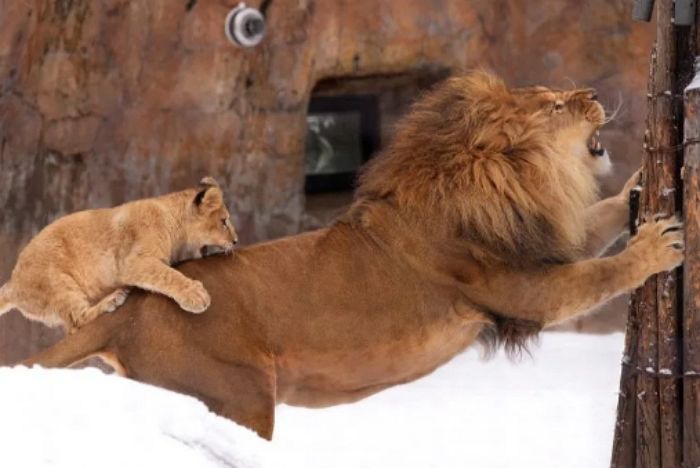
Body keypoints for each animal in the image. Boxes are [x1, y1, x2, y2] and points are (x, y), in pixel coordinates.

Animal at [23, 70, 684, 438]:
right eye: (554, 105)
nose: (594, 92)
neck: (514, 183)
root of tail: (130, 308)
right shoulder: (516, 288)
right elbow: (601, 269)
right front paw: (657, 244)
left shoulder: (542, 244)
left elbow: (599, 223)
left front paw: (634, 189)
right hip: (238, 395)